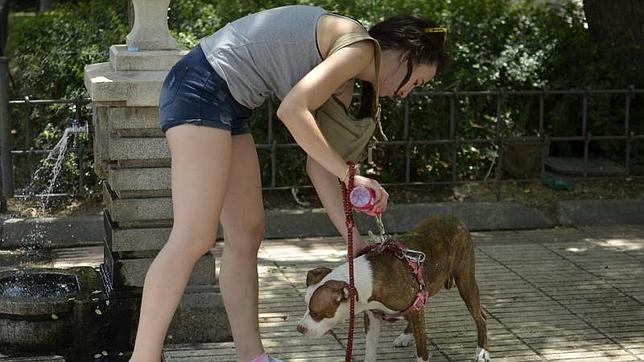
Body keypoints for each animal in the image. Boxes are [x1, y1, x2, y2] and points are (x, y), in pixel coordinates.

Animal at [296, 216, 488, 360]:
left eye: (316, 312)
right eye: (306, 307)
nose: (299, 328)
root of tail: (455, 219)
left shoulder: (414, 308)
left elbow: (422, 352)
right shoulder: (372, 317)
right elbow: (370, 351)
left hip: (466, 282)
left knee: (480, 317)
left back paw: (482, 351)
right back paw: (406, 335)